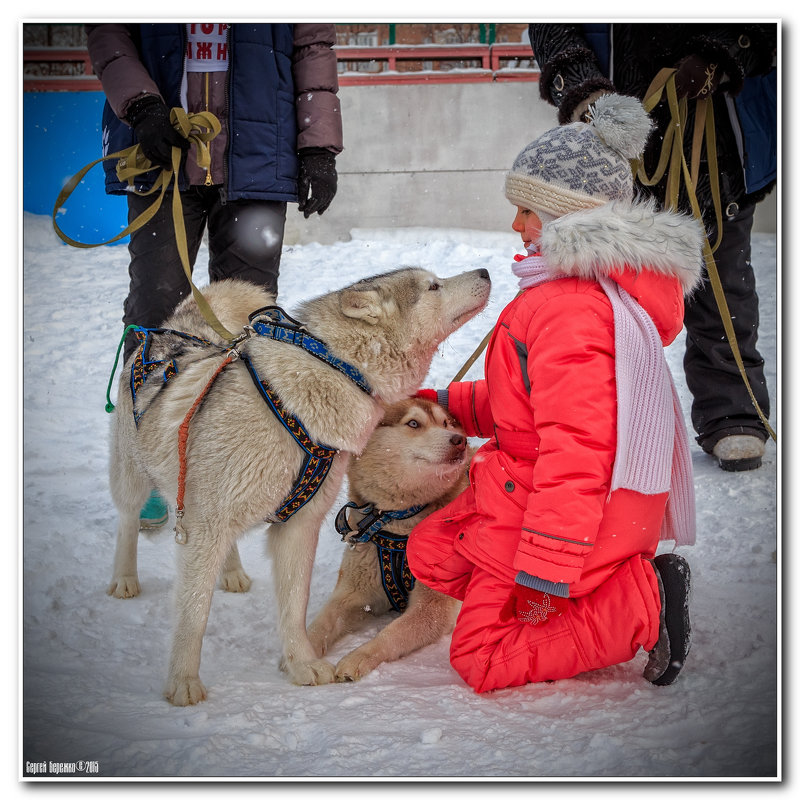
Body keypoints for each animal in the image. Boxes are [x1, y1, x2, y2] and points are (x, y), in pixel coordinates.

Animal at [108, 270, 488, 708]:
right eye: (433, 287)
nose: (485, 272)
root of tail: (179, 328)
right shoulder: (205, 525)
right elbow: (193, 612)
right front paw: (183, 682)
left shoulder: (299, 524)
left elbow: (296, 605)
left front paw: (302, 665)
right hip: (134, 474)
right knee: (127, 519)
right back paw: (124, 578)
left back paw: (231, 572)